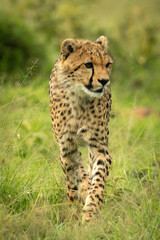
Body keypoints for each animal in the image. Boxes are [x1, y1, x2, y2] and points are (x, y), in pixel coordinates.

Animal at [49, 36, 113, 223]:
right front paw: (73, 210)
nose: (104, 81)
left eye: (107, 64)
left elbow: (98, 182)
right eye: (88, 65)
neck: (79, 96)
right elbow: (72, 181)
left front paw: (90, 214)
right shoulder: (67, 148)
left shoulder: (100, 148)